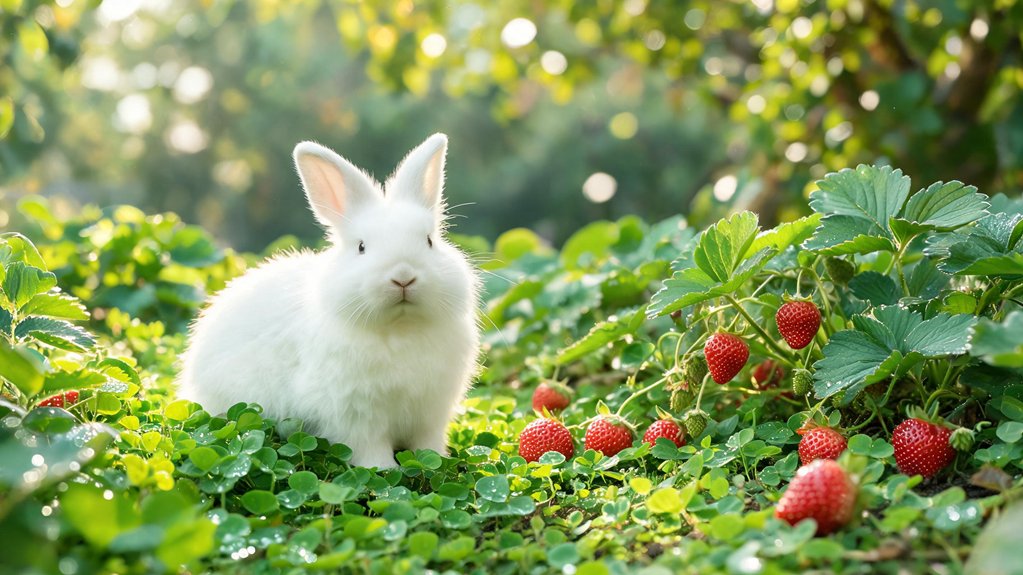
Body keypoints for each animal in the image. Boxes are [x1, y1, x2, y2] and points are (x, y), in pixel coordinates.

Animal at [176, 134, 480, 469]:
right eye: (361, 247)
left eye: (429, 241)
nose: (403, 276)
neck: (400, 329)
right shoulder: (355, 414)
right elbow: (369, 447)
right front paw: (383, 469)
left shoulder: (430, 413)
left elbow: (426, 444)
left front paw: (436, 459)